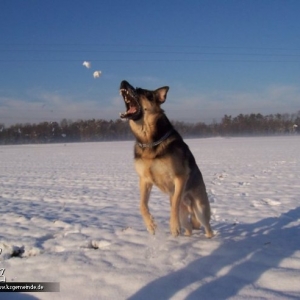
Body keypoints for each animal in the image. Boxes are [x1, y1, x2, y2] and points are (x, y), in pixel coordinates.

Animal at [119, 81, 213, 238]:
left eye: (142, 91)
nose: (123, 82)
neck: (150, 141)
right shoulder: (144, 180)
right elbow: (142, 205)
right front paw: (151, 225)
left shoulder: (180, 177)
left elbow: (175, 202)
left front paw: (173, 226)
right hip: (185, 215)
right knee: (188, 227)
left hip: (200, 209)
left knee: (207, 227)